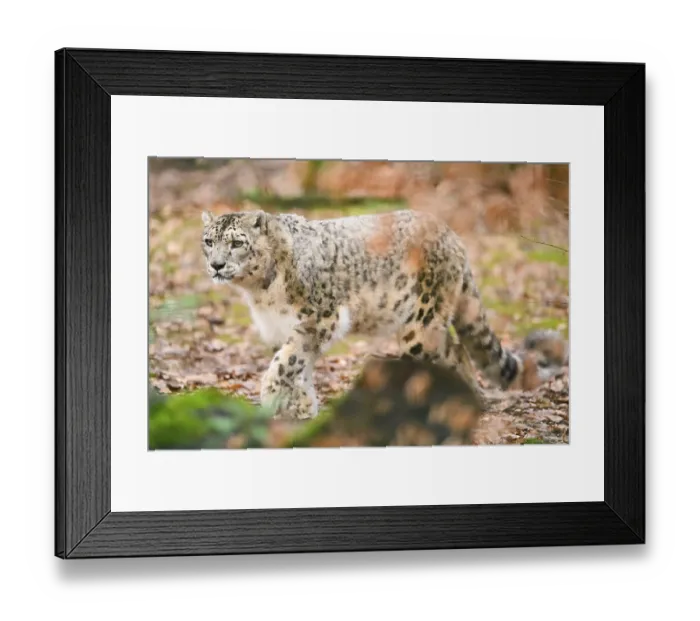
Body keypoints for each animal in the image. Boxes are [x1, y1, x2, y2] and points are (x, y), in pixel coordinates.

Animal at [201, 209, 567, 419]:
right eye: (208, 241)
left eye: (236, 243)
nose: (216, 265)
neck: (260, 291)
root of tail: (451, 234)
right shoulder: (287, 328)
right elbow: (297, 364)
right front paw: (302, 407)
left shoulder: (318, 318)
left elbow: (285, 362)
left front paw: (274, 398)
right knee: (457, 350)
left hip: (421, 323)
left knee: (447, 351)